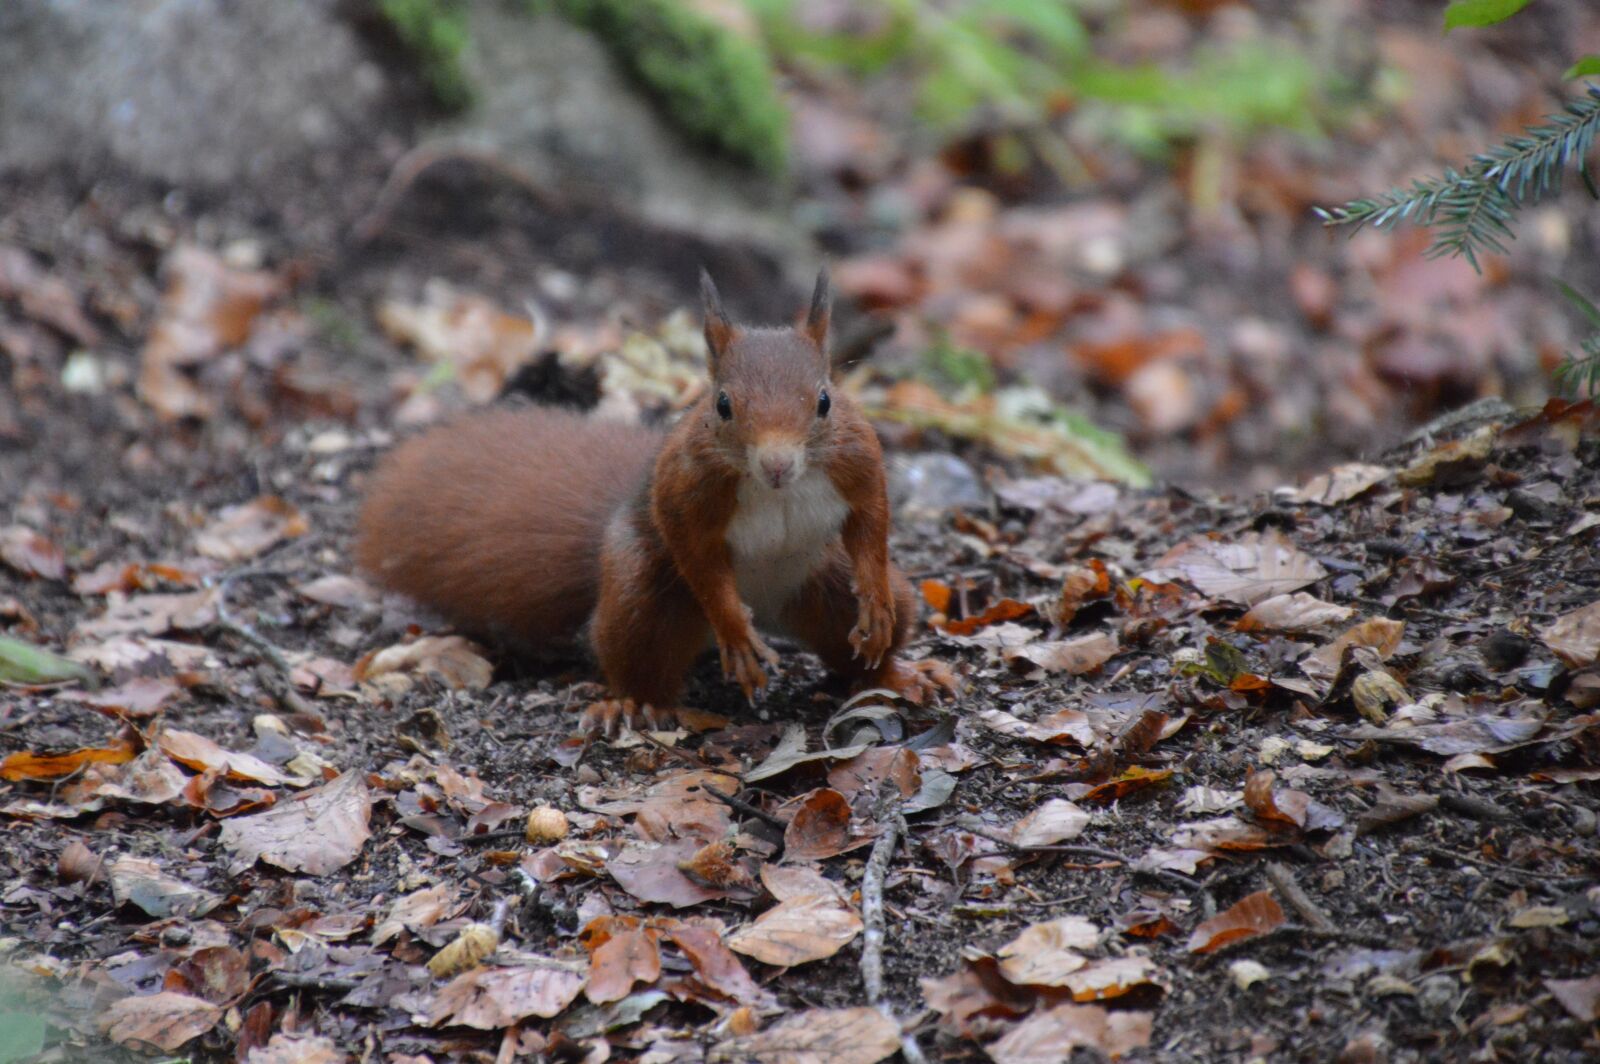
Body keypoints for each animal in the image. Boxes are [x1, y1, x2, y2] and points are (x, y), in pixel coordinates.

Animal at [355, 269, 957, 730]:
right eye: (722, 405)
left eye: (825, 401)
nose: (777, 464)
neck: (775, 489)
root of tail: (769, 606)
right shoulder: (685, 492)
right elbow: (697, 553)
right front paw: (735, 632)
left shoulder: (858, 461)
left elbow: (870, 523)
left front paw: (873, 599)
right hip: (643, 594)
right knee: (636, 651)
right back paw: (635, 702)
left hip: (828, 585)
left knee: (862, 646)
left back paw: (897, 673)